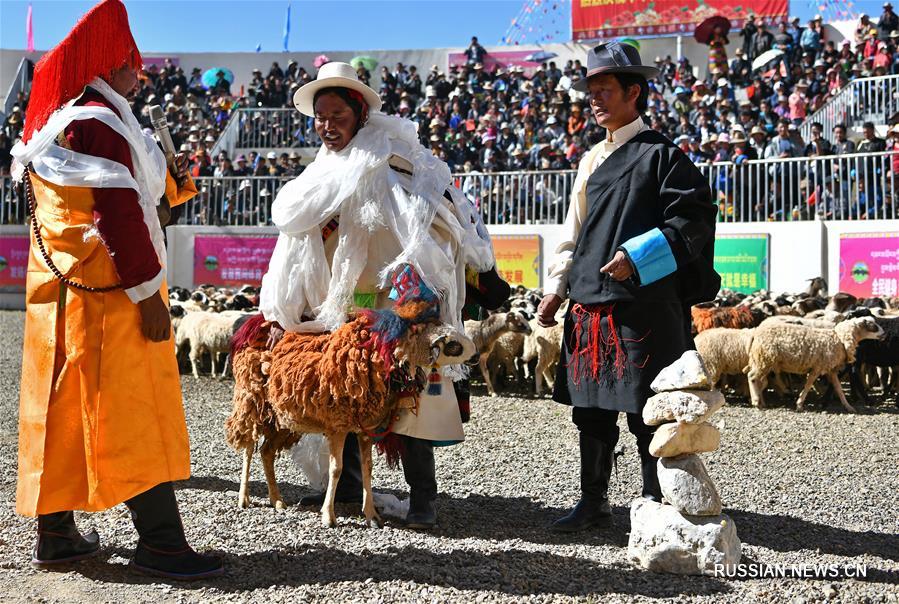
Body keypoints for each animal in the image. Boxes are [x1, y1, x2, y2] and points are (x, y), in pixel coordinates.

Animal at [744, 316, 884, 410]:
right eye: (872, 325)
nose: (884, 334)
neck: (839, 339)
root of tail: (756, 333)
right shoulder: (817, 367)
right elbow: (808, 385)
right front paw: (799, 404)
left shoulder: (830, 370)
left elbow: (838, 389)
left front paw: (848, 406)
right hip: (764, 359)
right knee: (751, 377)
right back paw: (755, 401)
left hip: (763, 361)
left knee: (759, 380)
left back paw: (760, 402)